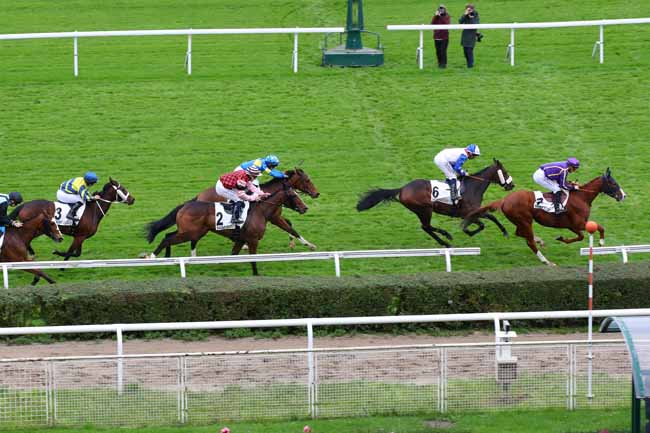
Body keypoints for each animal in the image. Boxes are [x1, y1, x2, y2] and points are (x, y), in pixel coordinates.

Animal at [146, 178, 308, 274]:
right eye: (293, 195)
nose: (305, 208)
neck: (260, 211)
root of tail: (185, 205)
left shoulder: (241, 239)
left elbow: (233, 255)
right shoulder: (253, 240)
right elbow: (253, 258)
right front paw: (256, 274)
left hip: (192, 231)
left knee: (168, 235)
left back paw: (168, 257)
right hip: (190, 232)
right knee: (167, 239)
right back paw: (152, 257)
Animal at [147, 168, 318, 253]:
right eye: (307, 180)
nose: (317, 193)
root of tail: (198, 196)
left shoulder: (274, 216)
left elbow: (289, 225)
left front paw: (294, 243)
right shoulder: (274, 217)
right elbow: (291, 227)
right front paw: (309, 245)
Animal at [354, 159, 512, 246]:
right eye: (505, 172)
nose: (512, 185)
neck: (472, 187)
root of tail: (402, 189)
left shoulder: (473, 212)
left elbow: (489, 218)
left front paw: (503, 231)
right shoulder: (469, 212)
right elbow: (484, 222)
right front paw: (469, 231)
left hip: (421, 211)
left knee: (426, 227)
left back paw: (445, 241)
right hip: (425, 209)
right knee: (426, 226)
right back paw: (446, 237)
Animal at [460, 168, 624, 264]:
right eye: (613, 184)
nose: (623, 195)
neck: (582, 197)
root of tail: (504, 200)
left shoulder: (573, 225)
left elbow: (583, 235)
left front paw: (562, 238)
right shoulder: (578, 223)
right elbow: (595, 230)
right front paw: (601, 242)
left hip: (522, 222)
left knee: (521, 234)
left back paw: (540, 241)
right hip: (525, 220)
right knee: (529, 241)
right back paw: (546, 260)